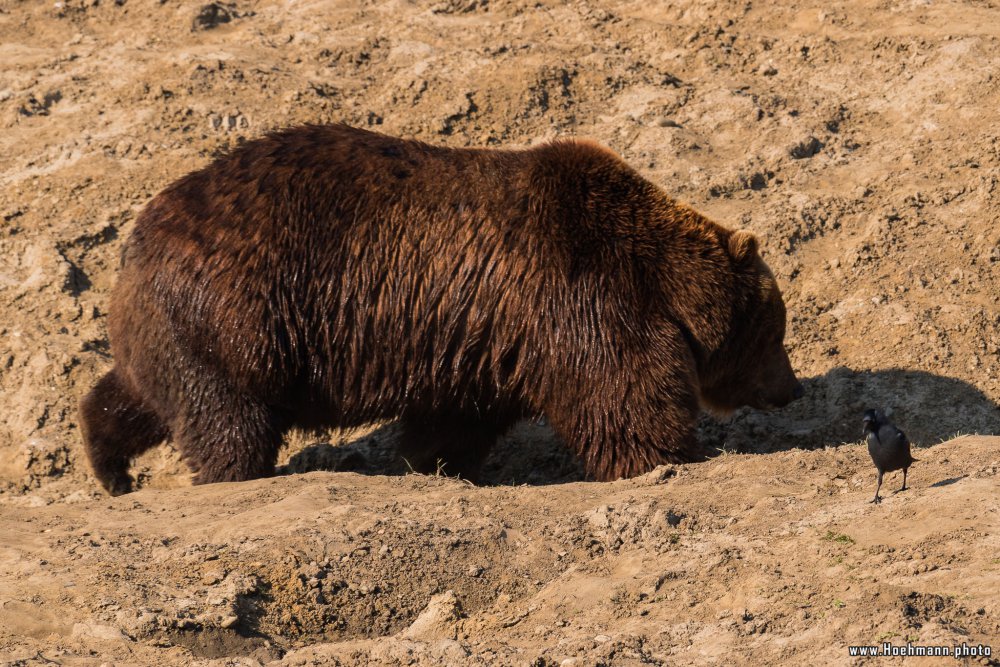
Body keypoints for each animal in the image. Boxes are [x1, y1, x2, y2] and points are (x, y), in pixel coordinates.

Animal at [78, 124, 800, 496]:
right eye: (776, 332)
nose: (791, 388)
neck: (656, 274)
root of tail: (134, 242)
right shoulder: (580, 298)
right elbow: (625, 402)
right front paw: (674, 454)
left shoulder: (480, 339)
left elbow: (453, 422)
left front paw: (432, 464)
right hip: (240, 314)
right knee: (229, 423)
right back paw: (229, 476)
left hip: (174, 328)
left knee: (139, 394)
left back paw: (112, 469)